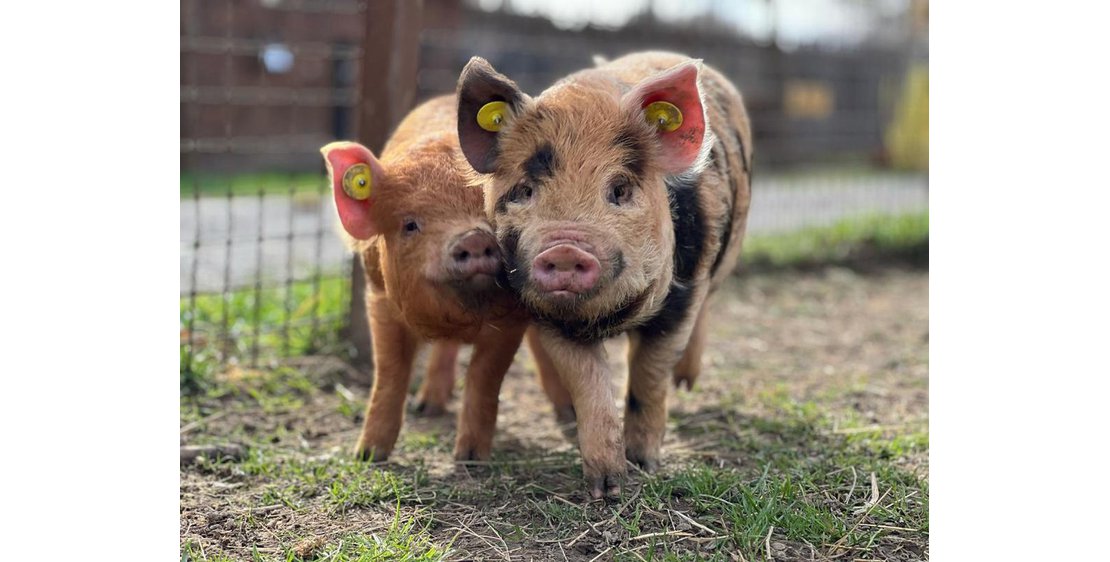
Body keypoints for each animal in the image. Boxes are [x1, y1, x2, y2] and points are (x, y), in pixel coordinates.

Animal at [321, 95, 528, 466]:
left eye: (492, 211)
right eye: (410, 224)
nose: (474, 237)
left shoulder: (514, 317)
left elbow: (485, 376)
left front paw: (471, 458)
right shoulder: (379, 299)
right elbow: (389, 373)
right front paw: (368, 456)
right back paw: (426, 407)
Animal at [452, 49, 754, 495]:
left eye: (620, 189)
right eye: (524, 190)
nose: (563, 249)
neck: (610, 319)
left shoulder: (680, 296)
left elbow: (648, 376)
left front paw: (644, 464)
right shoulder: (547, 316)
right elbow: (589, 383)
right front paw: (607, 487)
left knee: (705, 311)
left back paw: (685, 383)